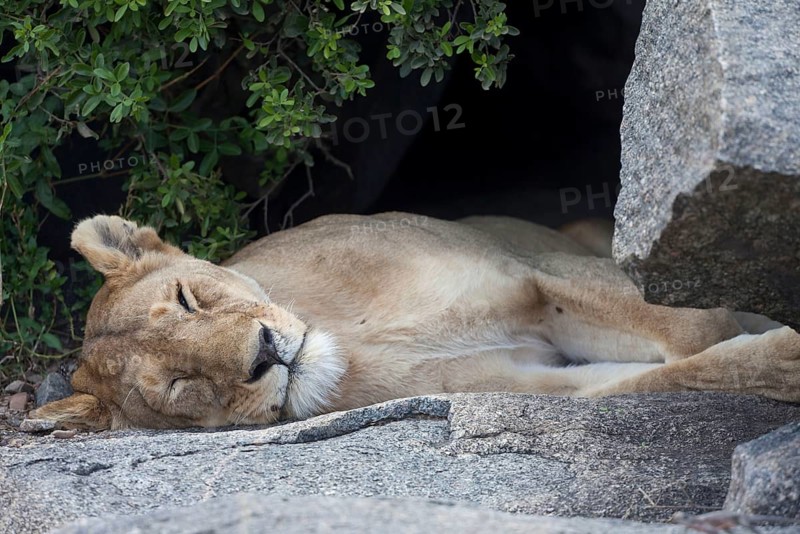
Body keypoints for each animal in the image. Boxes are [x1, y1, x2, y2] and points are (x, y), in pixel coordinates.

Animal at [31, 213, 800, 430]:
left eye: (190, 297)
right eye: (179, 387)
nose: (265, 355)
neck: (354, 336)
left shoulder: (533, 268)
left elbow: (684, 327)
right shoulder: (533, 381)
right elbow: (669, 377)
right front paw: (785, 360)